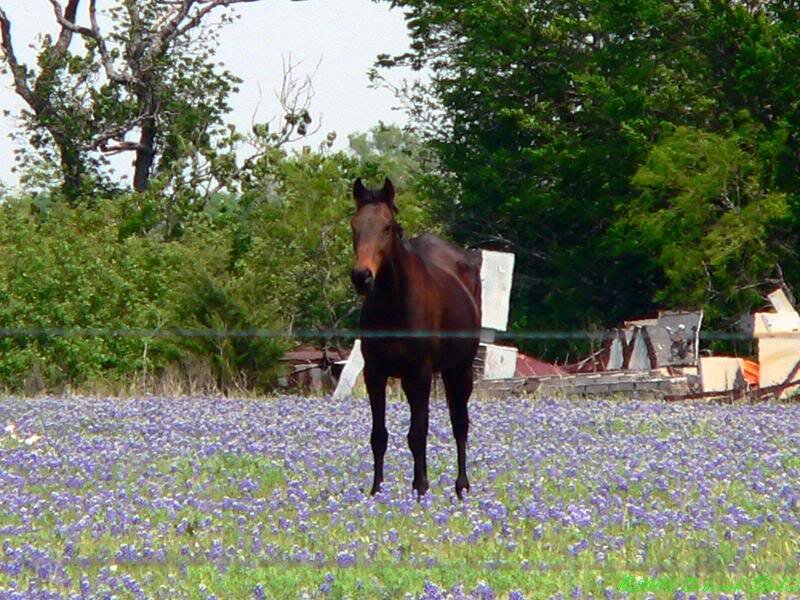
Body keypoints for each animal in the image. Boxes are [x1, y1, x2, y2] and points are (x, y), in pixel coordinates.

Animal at [349, 177, 482, 500]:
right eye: (354, 225)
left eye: (387, 226)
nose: (361, 276)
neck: (394, 303)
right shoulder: (375, 373)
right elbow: (379, 435)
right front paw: (376, 490)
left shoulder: (418, 372)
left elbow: (418, 433)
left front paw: (421, 488)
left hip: (459, 369)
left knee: (460, 423)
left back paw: (461, 485)